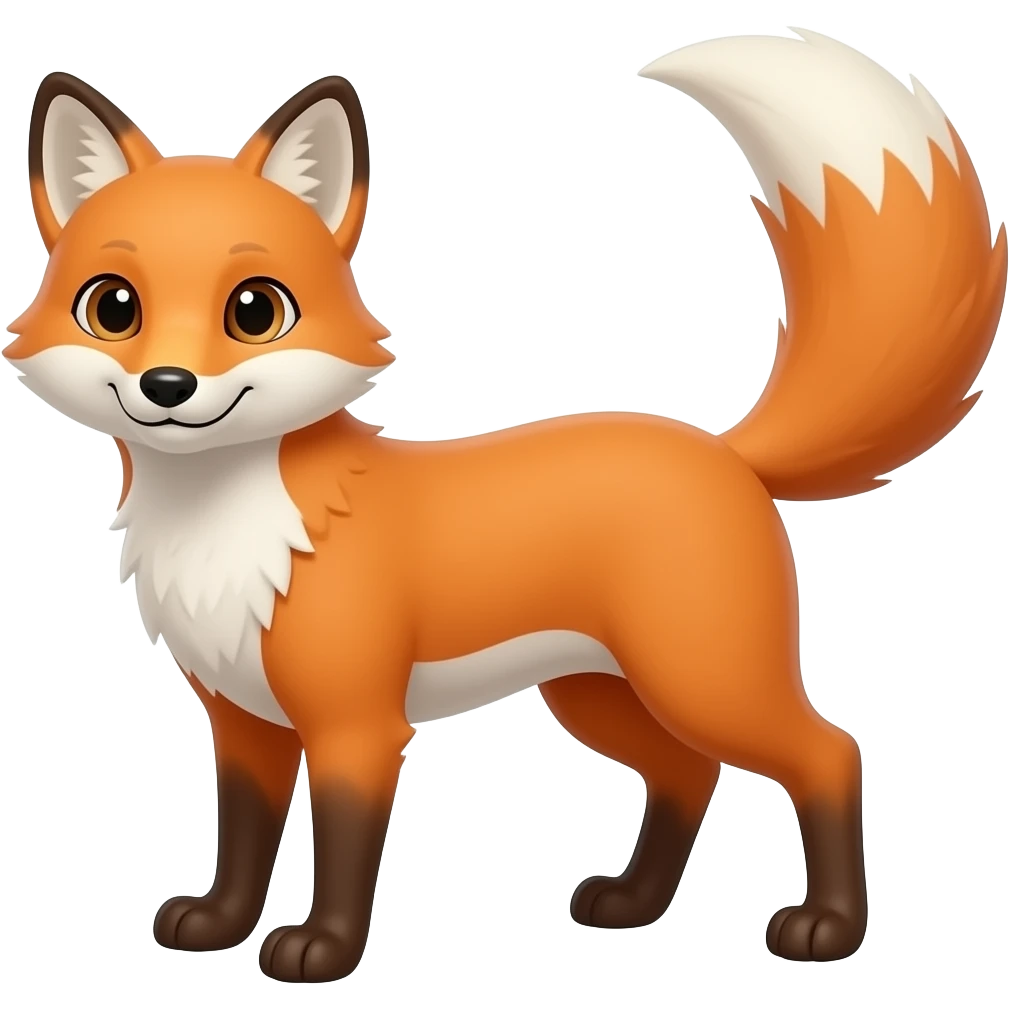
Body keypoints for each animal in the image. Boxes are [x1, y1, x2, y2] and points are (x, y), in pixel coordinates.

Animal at [5, 32, 1004, 983]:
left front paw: (321, 950)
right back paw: (633, 903)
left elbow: (344, 852)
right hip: (599, 694)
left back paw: (827, 929)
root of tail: (725, 451)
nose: (167, 386)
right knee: (689, 771)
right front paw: (218, 925)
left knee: (828, 752)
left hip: (703, 678)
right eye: (113, 307)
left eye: (254, 310)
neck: (227, 526)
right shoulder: (243, 720)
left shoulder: (357, 725)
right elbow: (244, 842)